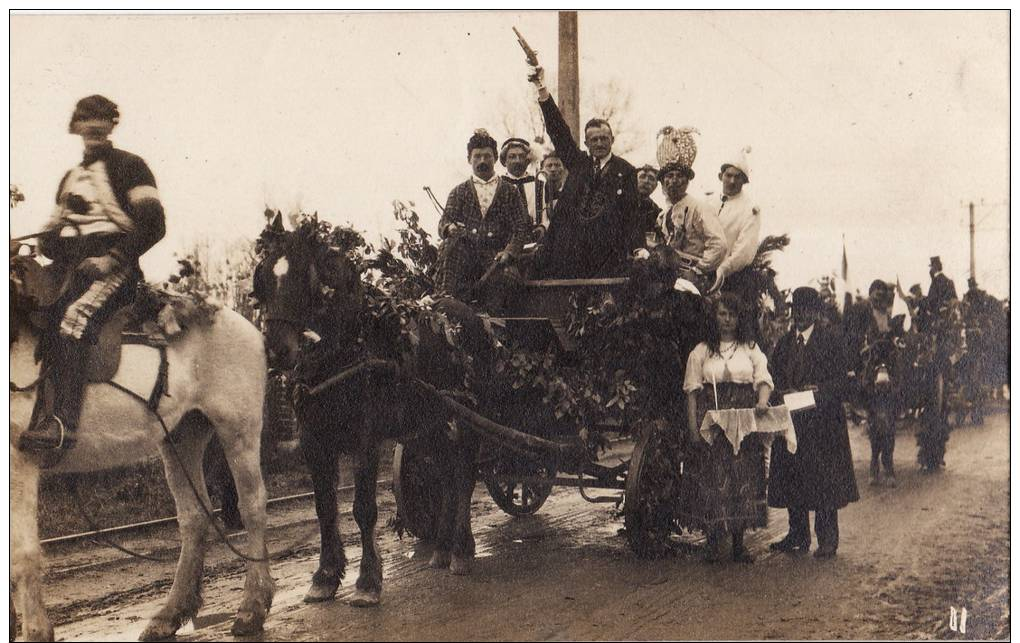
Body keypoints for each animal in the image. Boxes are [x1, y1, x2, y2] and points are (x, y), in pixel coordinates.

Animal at [7, 261, 277, 640]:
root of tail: (244, 325)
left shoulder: (19, 463)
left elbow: (22, 554)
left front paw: (35, 631)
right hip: (181, 438)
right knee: (194, 518)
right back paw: (169, 615)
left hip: (238, 429)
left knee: (252, 505)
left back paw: (251, 607)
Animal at [248, 218, 483, 608]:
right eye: (264, 276)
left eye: (303, 276)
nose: (277, 350)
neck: (346, 347)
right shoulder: (313, 440)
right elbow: (325, 508)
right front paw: (325, 576)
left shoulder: (365, 439)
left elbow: (362, 508)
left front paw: (368, 581)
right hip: (428, 424)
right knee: (448, 475)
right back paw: (442, 549)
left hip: (465, 417)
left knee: (465, 474)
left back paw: (462, 550)